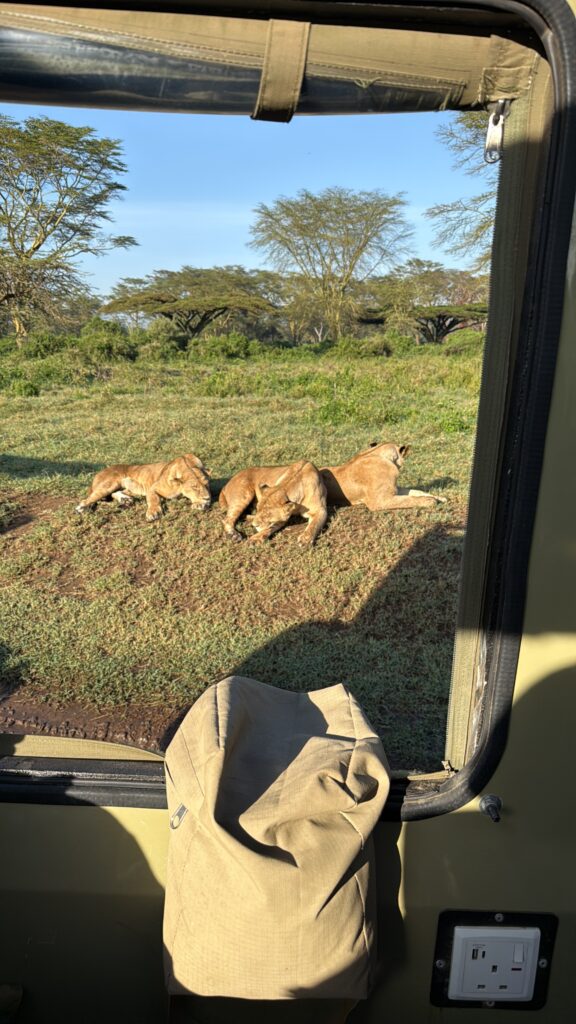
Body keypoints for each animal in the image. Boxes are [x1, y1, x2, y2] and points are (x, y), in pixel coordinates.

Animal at [76, 454, 211, 522]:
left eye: (207, 484)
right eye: (194, 487)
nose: (207, 498)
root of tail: (100, 472)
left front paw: (201, 503)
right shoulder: (152, 487)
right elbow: (153, 500)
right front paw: (153, 513)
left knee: (117, 493)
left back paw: (125, 500)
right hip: (109, 484)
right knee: (87, 499)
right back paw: (82, 508)